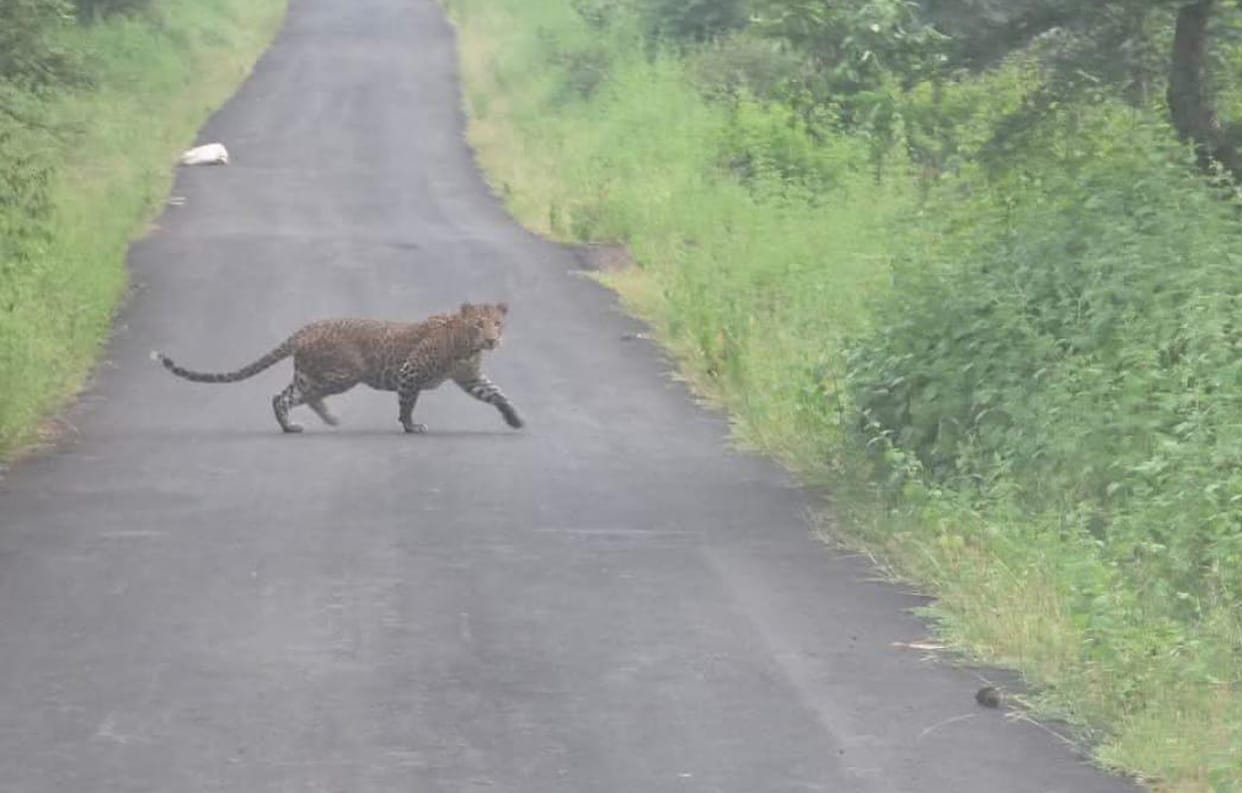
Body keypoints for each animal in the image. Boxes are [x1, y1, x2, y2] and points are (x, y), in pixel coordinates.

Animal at [152, 302, 524, 435]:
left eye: (497, 324)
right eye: (478, 324)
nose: (492, 339)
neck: (467, 348)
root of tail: (306, 328)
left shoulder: (471, 378)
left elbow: (497, 394)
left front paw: (515, 418)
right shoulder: (410, 372)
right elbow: (407, 403)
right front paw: (410, 426)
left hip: (309, 373)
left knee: (282, 396)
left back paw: (293, 426)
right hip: (344, 374)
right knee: (305, 395)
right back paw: (324, 419)